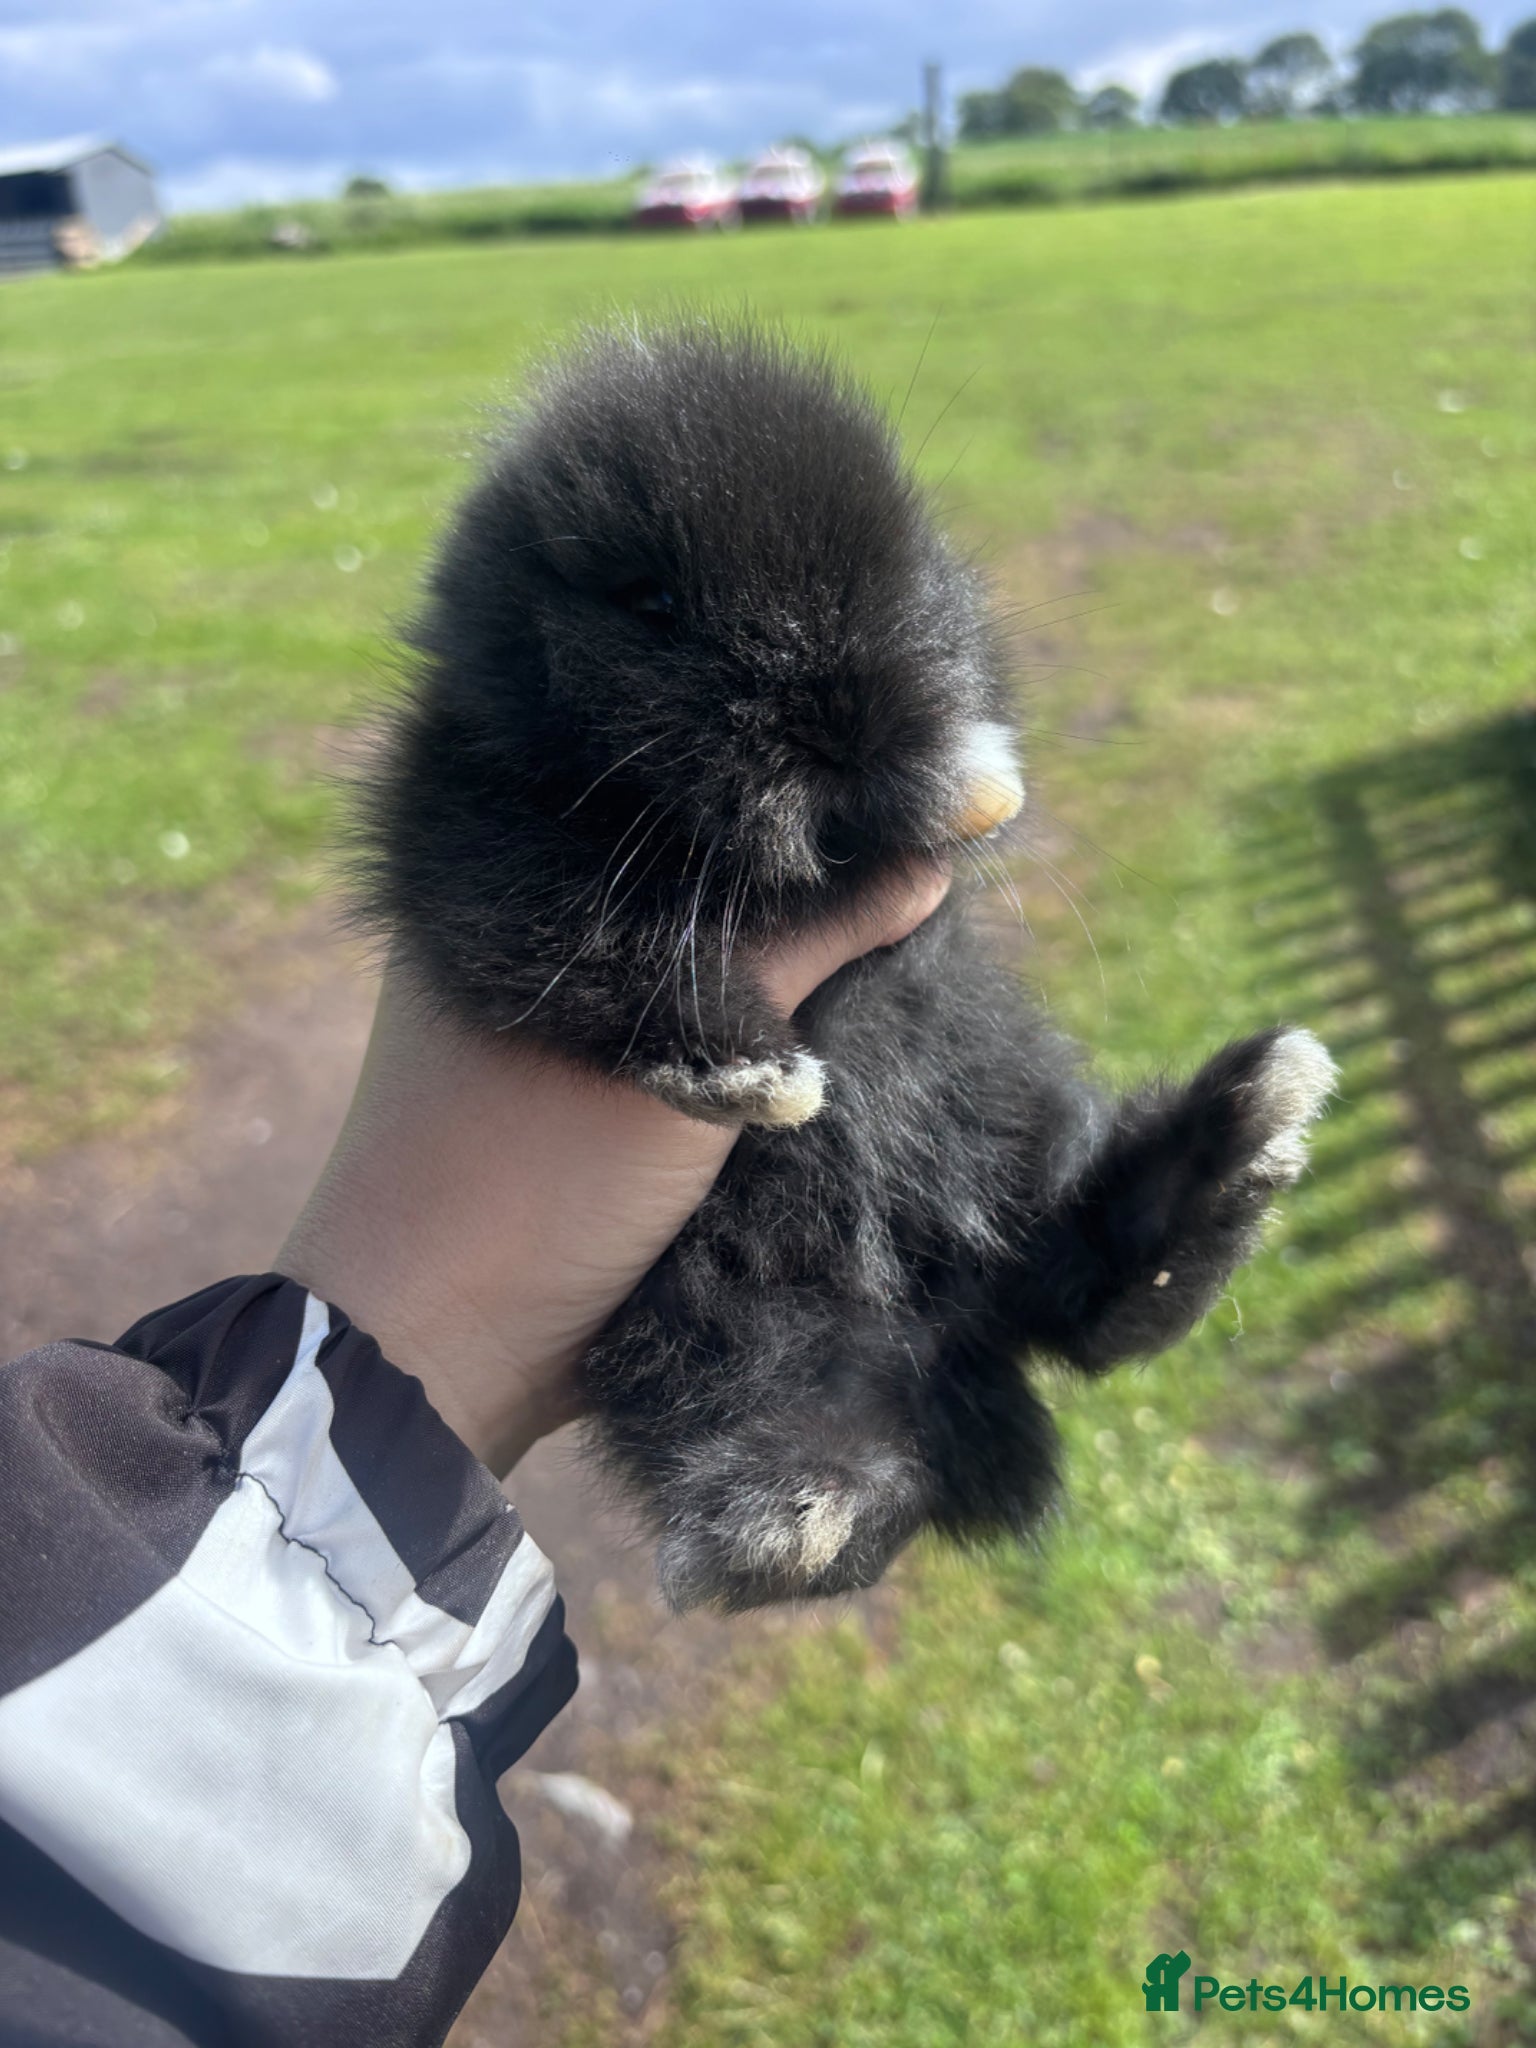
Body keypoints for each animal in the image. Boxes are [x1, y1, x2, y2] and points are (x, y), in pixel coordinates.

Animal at [356, 320, 1335, 1612]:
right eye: (649, 601)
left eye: (912, 569)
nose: (840, 717)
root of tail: (952, 1341)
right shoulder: (470, 836)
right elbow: (573, 950)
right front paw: (750, 1072)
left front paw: (957, 771)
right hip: (712, 1318)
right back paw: (798, 1512)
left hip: (1011, 1119)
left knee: (1087, 1296)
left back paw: (1243, 1131)